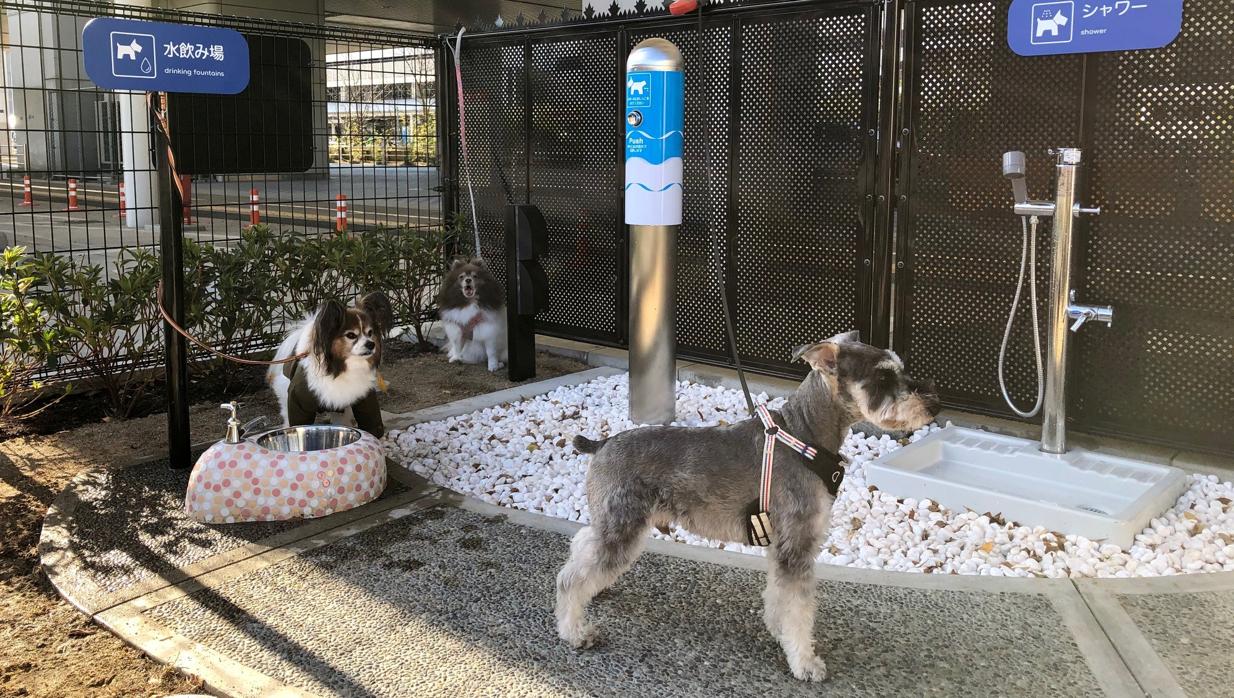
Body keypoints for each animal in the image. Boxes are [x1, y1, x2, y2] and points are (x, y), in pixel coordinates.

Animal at [271, 294, 394, 439]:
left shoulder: (364, 399)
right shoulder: (298, 400)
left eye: (370, 333)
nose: (371, 344)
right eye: (351, 335)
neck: (343, 368)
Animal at [555, 332, 937, 685]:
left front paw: (779, 629)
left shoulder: (782, 544)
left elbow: (779, 595)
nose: (933, 406)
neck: (806, 434)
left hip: (613, 522)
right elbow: (799, 607)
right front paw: (805, 663)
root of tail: (602, 444)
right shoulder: (798, 544)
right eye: (882, 376)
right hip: (622, 526)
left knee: (582, 544)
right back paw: (575, 632)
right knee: (569, 579)